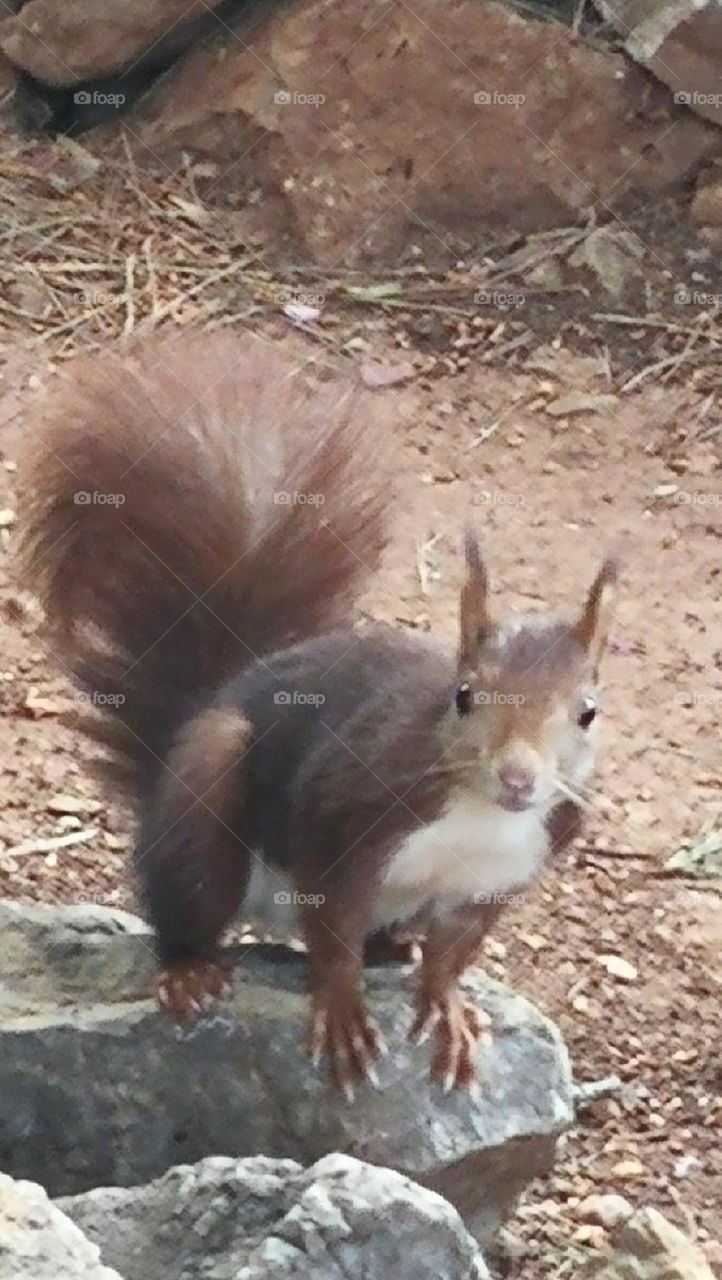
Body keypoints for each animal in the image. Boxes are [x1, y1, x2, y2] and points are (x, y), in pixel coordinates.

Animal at [18, 331, 617, 1099]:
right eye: (465, 695)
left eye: (588, 712)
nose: (518, 778)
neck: (478, 815)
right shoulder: (347, 818)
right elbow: (332, 929)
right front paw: (341, 1012)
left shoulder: (503, 874)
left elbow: (453, 954)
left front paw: (448, 1007)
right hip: (207, 797)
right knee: (186, 903)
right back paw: (189, 971)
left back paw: (393, 954)